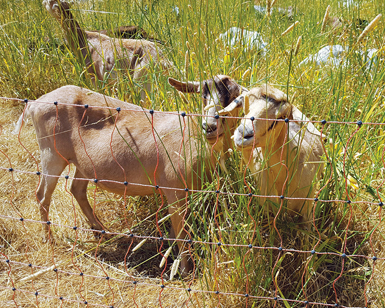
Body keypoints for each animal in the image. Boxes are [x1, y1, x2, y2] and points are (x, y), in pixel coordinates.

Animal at [15, 85, 213, 276]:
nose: (211, 126)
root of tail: (35, 103)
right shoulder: (175, 187)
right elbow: (181, 230)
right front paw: (185, 270)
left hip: (83, 163)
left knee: (76, 189)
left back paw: (102, 230)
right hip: (51, 153)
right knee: (42, 194)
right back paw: (49, 238)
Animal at [42, 0, 171, 98]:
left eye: (49, 1)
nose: (43, 1)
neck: (84, 39)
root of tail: (163, 59)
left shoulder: (95, 77)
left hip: (141, 81)